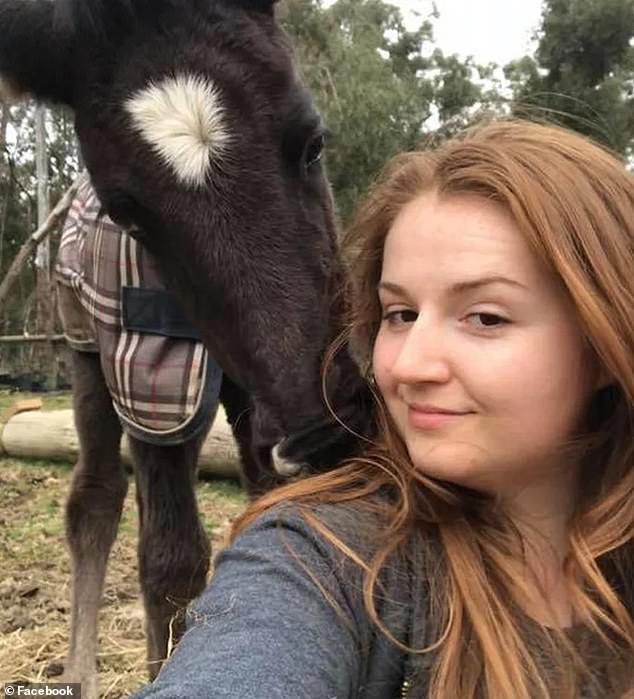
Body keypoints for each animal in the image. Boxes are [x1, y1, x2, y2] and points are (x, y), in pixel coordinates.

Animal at [0, 2, 370, 696]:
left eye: (313, 141)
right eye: (128, 211)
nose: (325, 432)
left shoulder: (255, 399)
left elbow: (266, 506)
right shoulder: (150, 384)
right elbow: (169, 562)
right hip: (87, 357)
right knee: (94, 496)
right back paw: (81, 672)